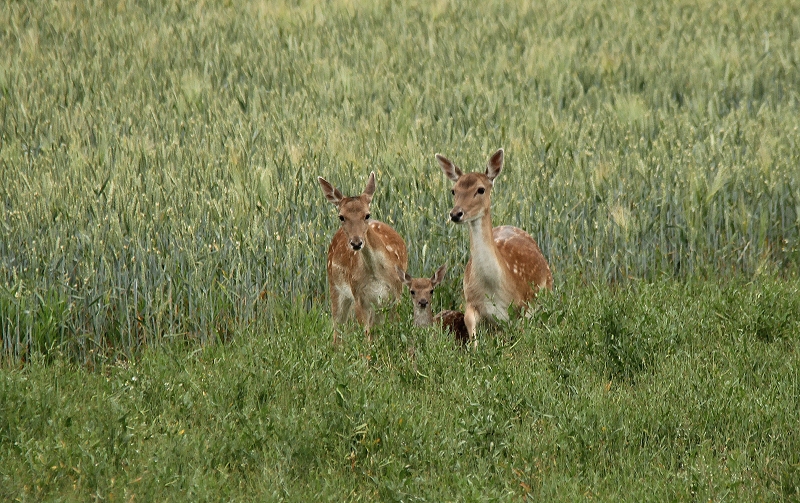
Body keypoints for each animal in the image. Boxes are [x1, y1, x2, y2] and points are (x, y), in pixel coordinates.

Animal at [318, 172, 406, 342]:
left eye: (367, 215)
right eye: (341, 216)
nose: (356, 242)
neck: (376, 273)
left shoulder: (396, 293)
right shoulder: (358, 296)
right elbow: (366, 335)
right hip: (335, 287)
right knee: (337, 329)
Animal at [438, 148, 552, 348]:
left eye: (480, 189)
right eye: (453, 190)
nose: (455, 214)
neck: (493, 289)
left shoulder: (522, 305)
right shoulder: (471, 300)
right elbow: (469, 322)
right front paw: (475, 350)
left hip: (550, 289)